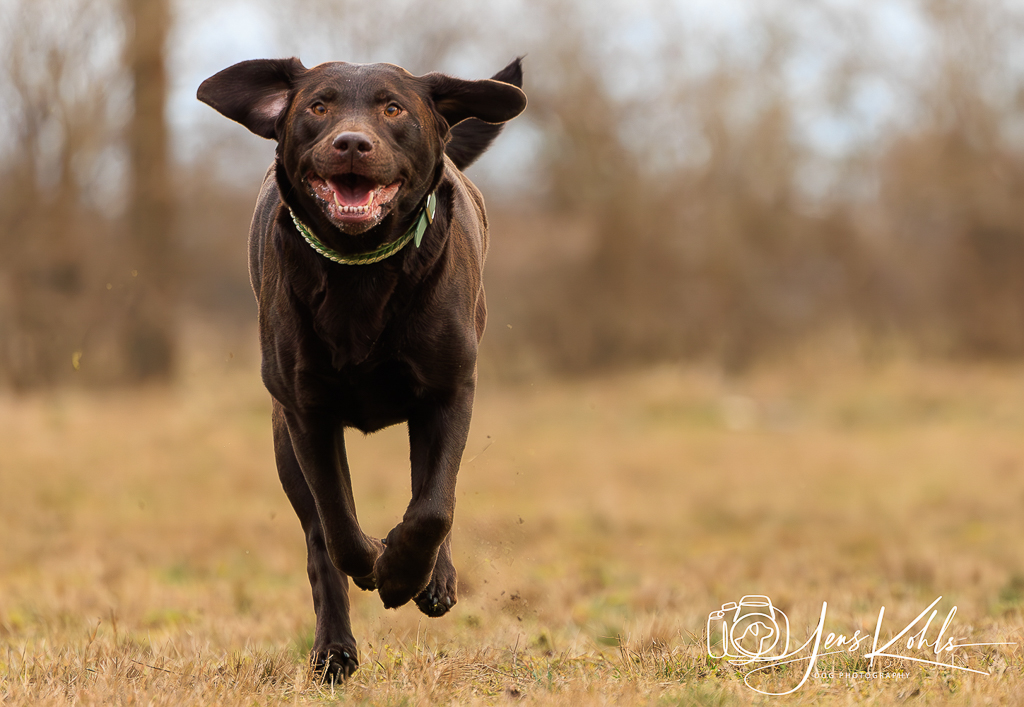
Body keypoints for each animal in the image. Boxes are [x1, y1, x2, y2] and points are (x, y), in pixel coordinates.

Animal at [197, 57, 526, 679]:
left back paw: (434, 579)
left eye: (392, 108)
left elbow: (433, 507)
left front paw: (404, 574)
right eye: (318, 106)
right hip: (283, 444)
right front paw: (379, 563)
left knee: (433, 494)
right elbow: (339, 527)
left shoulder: (449, 392)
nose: (351, 142)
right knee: (319, 541)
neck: (360, 271)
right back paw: (334, 651)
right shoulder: (306, 415)